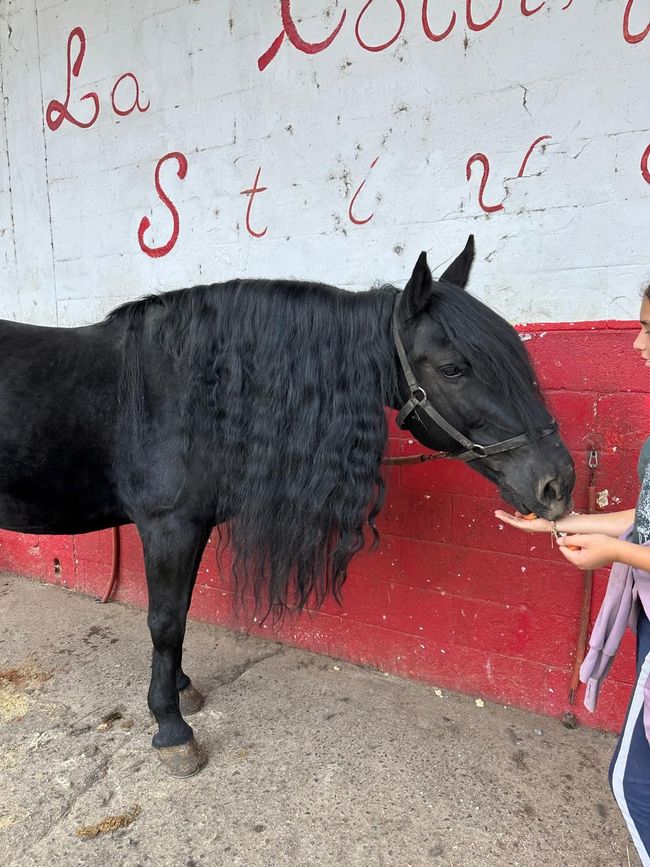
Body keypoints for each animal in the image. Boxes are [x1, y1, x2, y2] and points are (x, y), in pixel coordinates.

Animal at [0, 236, 575, 776]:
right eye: (454, 368)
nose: (557, 482)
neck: (187, 391)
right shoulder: (168, 527)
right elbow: (164, 622)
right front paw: (171, 727)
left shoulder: (192, 526)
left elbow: (180, 612)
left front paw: (183, 688)